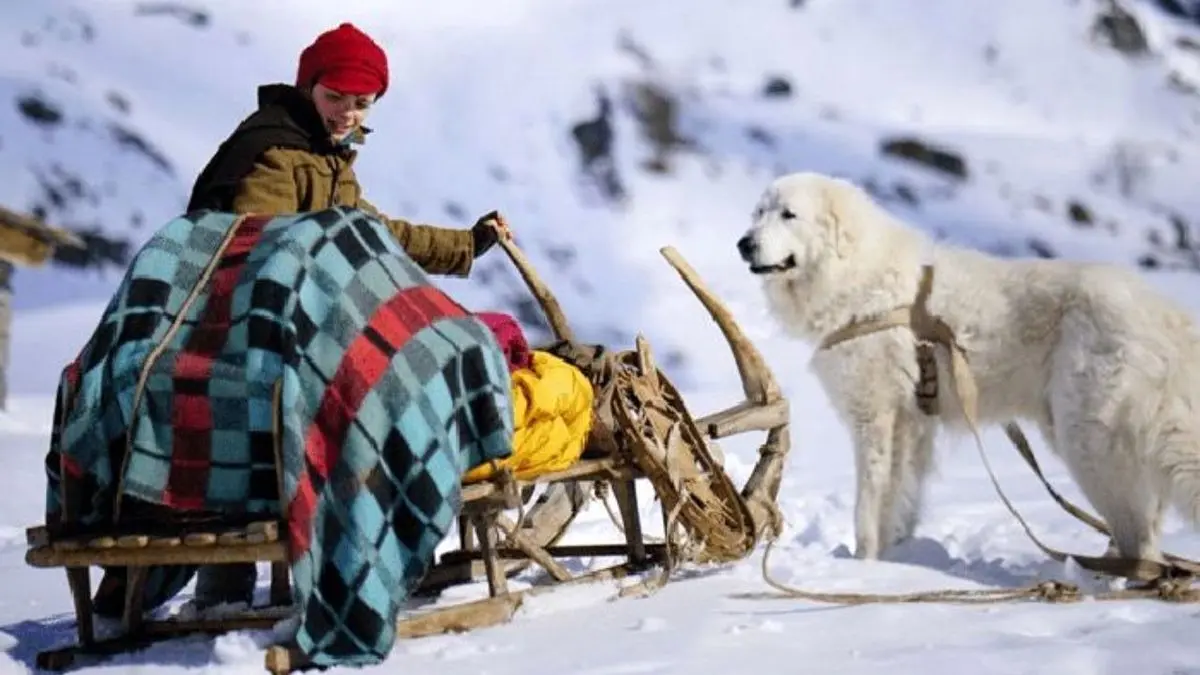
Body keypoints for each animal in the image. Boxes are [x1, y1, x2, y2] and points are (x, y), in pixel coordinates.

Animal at [734, 170, 1200, 559]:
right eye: (758, 213)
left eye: (789, 215)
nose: (744, 244)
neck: (856, 277)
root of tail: (1166, 317)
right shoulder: (913, 424)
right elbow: (901, 498)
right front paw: (896, 558)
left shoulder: (875, 417)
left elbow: (868, 502)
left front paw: (863, 564)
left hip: (1087, 440)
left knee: (1139, 536)